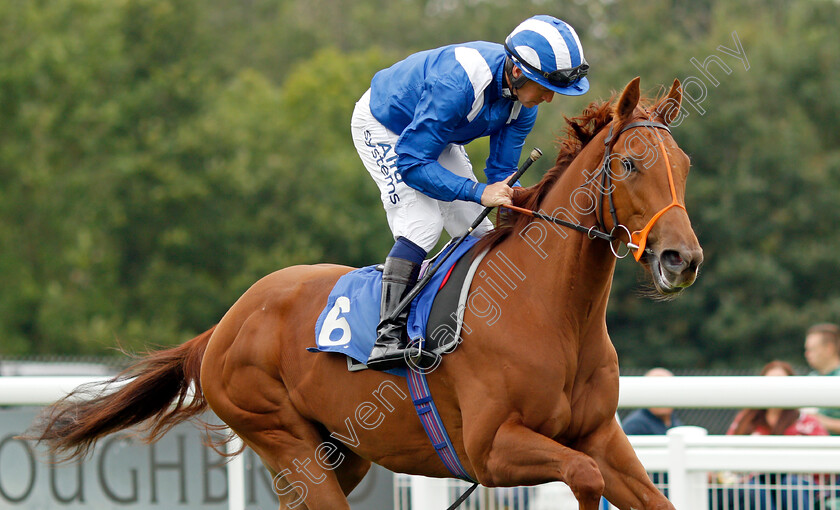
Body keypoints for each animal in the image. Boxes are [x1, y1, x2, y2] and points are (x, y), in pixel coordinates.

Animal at [26, 76, 704, 510]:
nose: (683, 258)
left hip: (340, 453)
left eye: (686, 165)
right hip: (283, 438)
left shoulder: (601, 437)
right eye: (630, 165)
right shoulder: (492, 449)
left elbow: (641, 492)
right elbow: (583, 479)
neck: (551, 312)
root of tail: (227, 322)